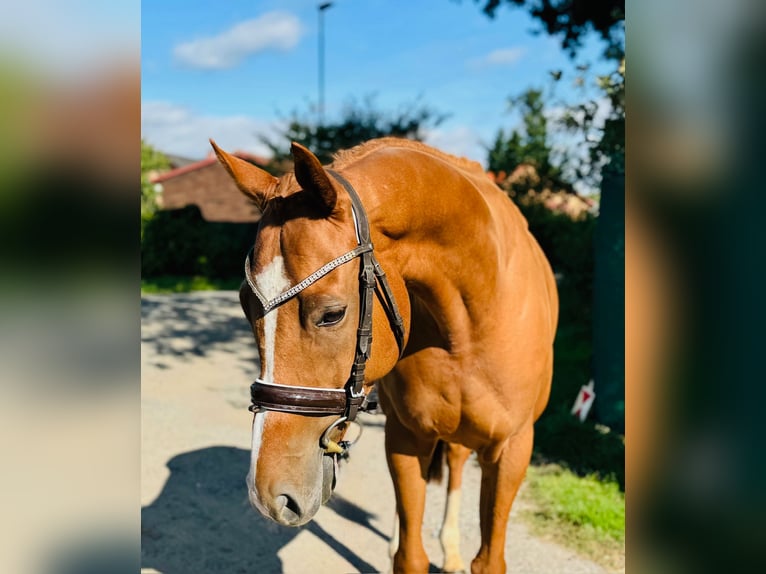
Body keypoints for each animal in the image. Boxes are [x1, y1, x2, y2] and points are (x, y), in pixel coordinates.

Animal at [210, 137, 560, 572]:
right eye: (246, 305)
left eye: (332, 314)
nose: (270, 496)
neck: (472, 320)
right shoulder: (406, 436)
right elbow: (409, 553)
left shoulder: (512, 451)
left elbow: (489, 558)